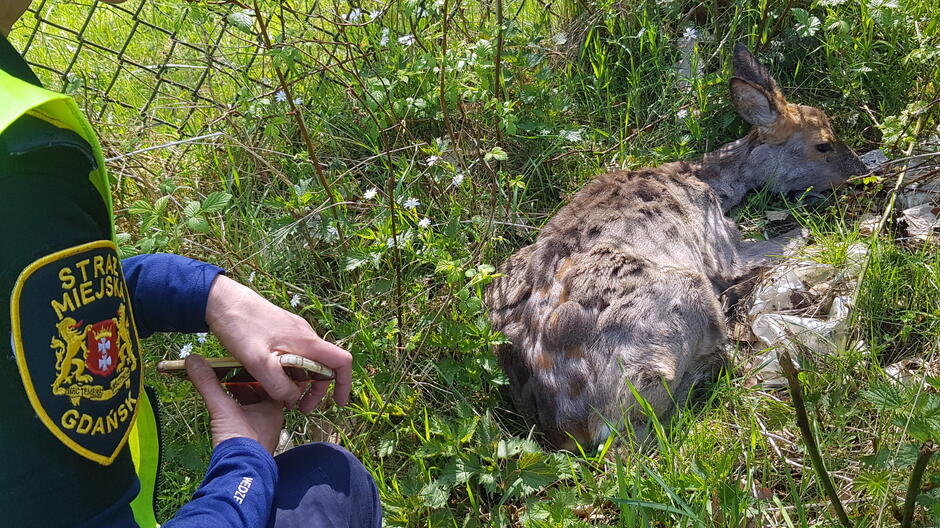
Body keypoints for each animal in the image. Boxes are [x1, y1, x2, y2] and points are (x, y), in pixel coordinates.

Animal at [484, 43, 868, 452]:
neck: (713, 184)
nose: (861, 171)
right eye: (823, 144)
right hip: (680, 304)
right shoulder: (719, 246)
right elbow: (792, 238)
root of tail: (570, 428)